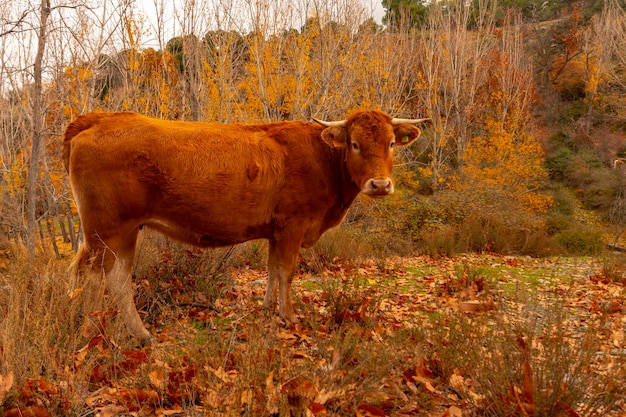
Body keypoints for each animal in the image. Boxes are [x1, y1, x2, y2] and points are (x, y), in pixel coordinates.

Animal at [62, 109, 424, 342]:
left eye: (391, 143)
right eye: (355, 144)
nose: (380, 184)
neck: (322, 158)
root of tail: (100, 118)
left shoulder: (276, 231)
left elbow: (273, 271)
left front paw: (267, 311)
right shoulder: (293, 225)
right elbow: (287, 272)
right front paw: (289, 317)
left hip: (123, 233)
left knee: (118, 280)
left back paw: (140, 335)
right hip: (105, 231)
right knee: (95, 278)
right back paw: (90, 334)